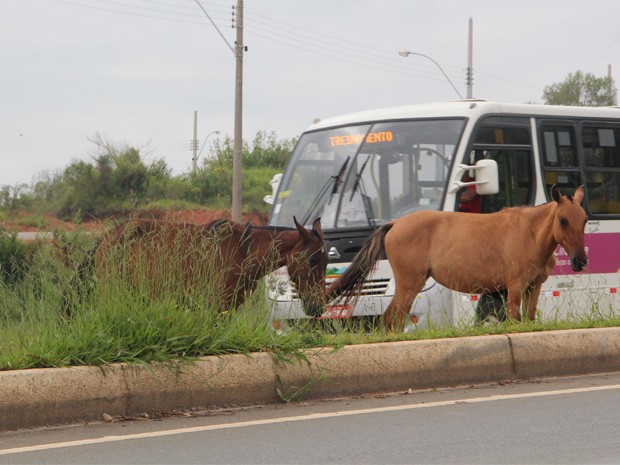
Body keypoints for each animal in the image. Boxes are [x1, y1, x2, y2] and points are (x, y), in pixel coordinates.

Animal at [91, 217, 326, 312]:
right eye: (312, 260)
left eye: (326, 262)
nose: (318, 307)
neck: (243, 251)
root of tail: (106, 238)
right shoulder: (216, 306)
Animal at [326, 185, 588, 330]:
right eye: (563, 220)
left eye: (584, 220)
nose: (580, 261)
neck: (530, 233)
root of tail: (395, 224)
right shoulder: (515, 288)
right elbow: (516, 319)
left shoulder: (533, 287)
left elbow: (529, 319)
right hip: (409, 285)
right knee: (393, 319)